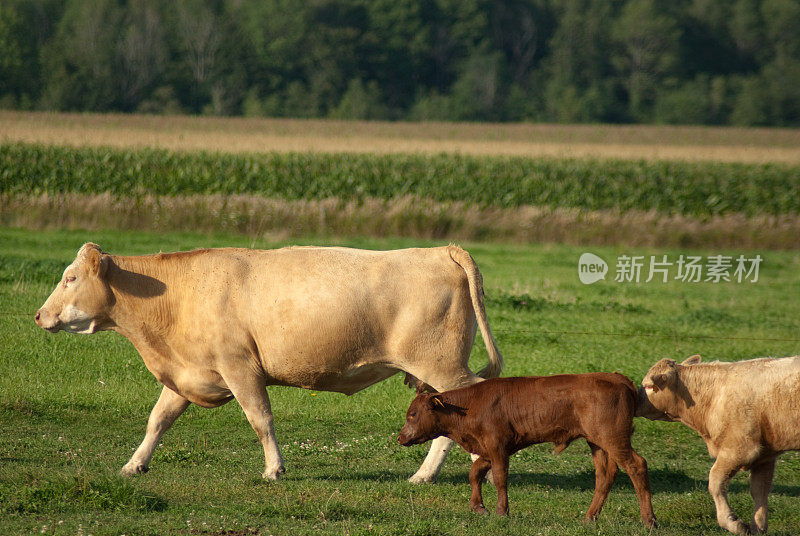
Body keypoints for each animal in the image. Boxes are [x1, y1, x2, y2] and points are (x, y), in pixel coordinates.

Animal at [37, 243, 504, 482]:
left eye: (70, 278)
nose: (40, 315)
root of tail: (440, 249)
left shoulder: (240, 368)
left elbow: (260, 419)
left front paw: (273, 469)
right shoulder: (188, 372)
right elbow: (158, 420)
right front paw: (134, 464)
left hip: (440, 365)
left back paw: (436, 472)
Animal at [396, 370, 652, 524]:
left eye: (413, 414)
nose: (400, 438)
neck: (471, 406)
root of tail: (618, 378)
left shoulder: (498, 446)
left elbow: (500, 478)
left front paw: (502, 512)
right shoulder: (489, 449)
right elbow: (474, 473)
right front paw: (478, 506)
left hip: (614, 439)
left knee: (637, 466)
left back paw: (649, 520)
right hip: (598, 443)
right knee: (605, 475)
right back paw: (590, 518)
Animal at [636, 354, 800, 532]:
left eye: (649, 387)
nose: (635, 399)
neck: (713, 399)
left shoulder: (740, 449)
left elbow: (715, 482)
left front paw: (732, 522)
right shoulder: (765, 456)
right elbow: (759, 490)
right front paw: (758, 526)